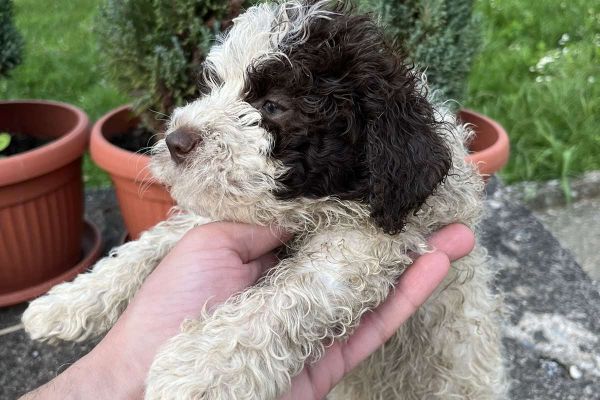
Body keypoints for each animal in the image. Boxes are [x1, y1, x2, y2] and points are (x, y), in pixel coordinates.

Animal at [25, 1, 508, 398]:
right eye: (214, 85)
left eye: (274, 105)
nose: (176, 141)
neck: (317, 206)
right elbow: (149, 246)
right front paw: (65, 304)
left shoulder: (368, 244)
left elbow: (286, 298)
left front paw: (199, 369)